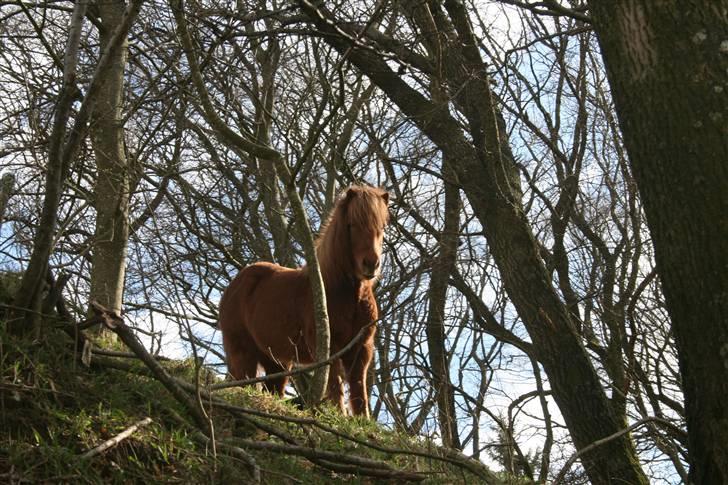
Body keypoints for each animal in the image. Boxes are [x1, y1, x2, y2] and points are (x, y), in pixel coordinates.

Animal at [219, 185, 390, 416]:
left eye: (382, 226)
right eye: (352, 225)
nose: (371, 264)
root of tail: (234, 286)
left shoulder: (362, 349)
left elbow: (358, 392)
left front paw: (362, 420)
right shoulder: (328, 346)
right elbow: (334, 385)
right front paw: (340, 414)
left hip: (277, 362)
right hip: (242, 353)